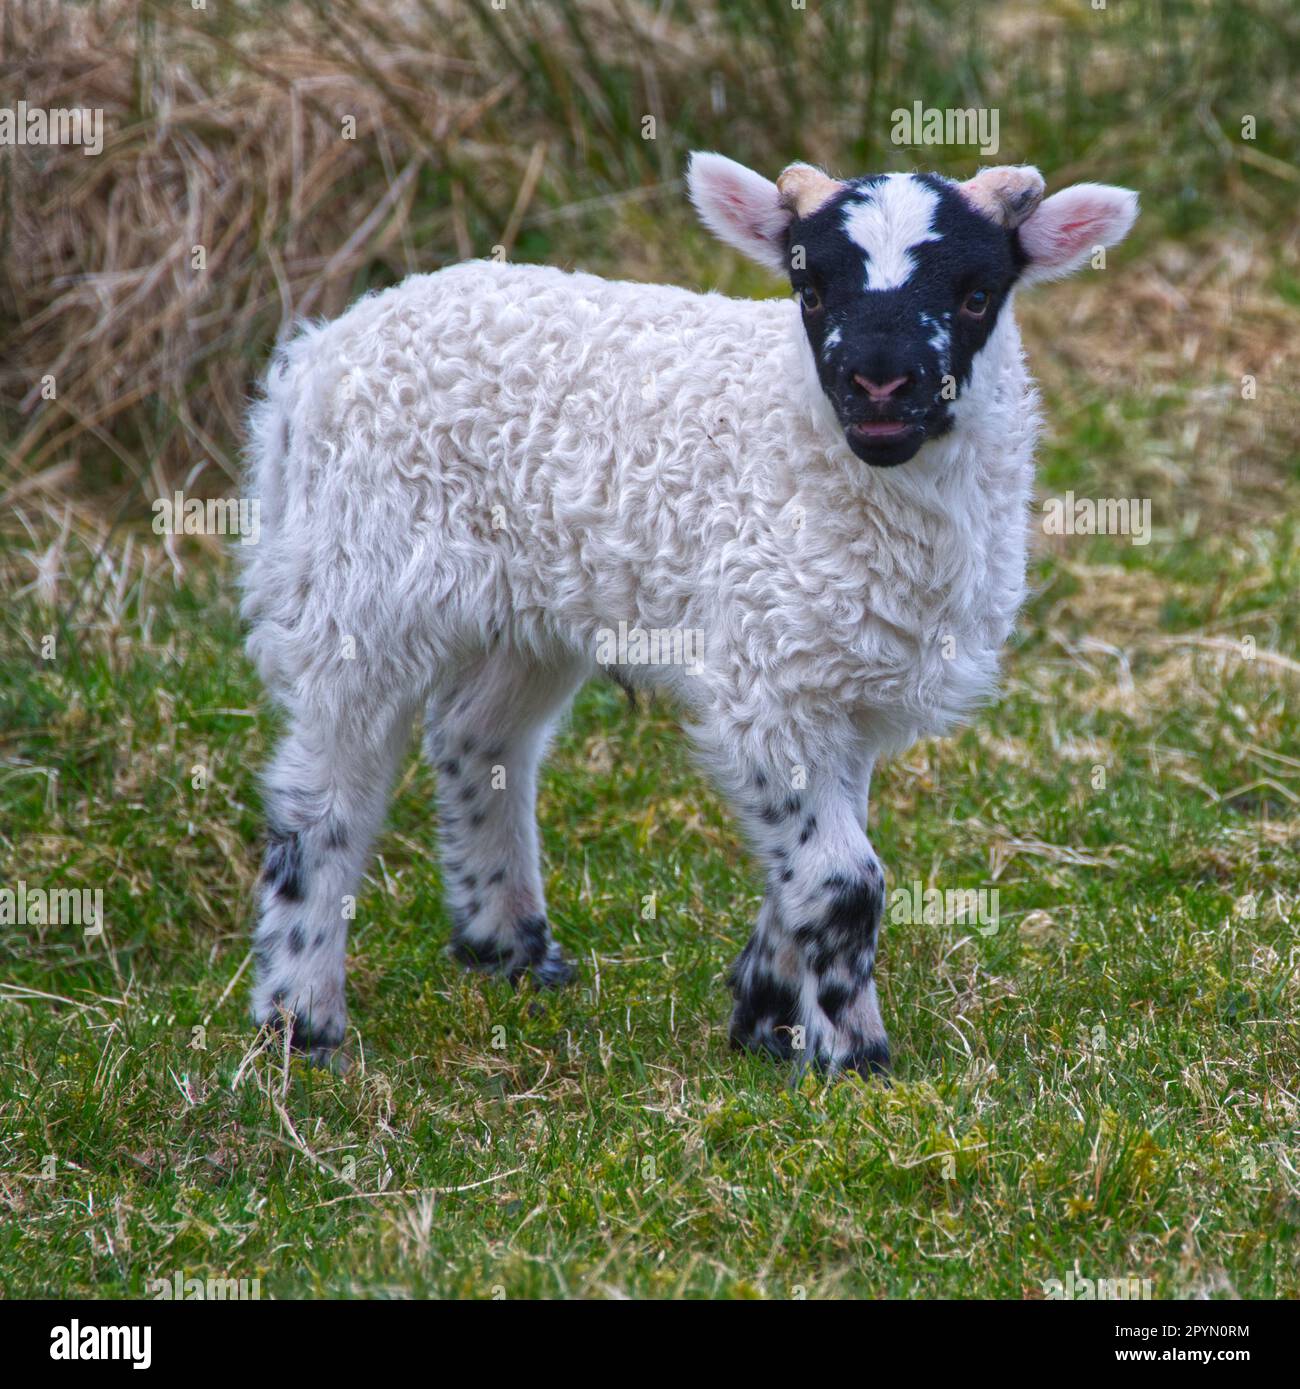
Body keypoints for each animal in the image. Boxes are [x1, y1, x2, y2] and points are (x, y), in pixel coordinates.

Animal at [241, 149, 1138, 1072]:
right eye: (810, 289)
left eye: (976, 294)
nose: (880, 384)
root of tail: (317, 353)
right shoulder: (769, 668)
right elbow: (844, 881)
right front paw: (855, 1054)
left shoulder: (840, 678)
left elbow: (810, 857)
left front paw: (768, 1015)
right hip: (357, 584)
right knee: (324, 796)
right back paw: (301, 1019)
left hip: (533, 604)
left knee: (477, 738)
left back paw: (512, 950)